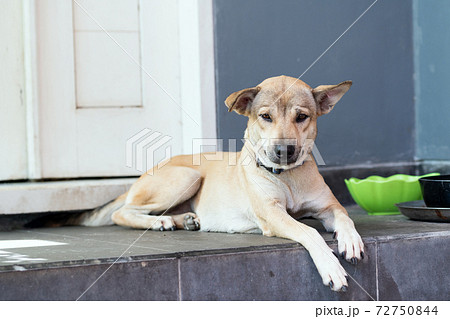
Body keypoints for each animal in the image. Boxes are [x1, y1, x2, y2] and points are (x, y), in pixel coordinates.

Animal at [67, 76, 364, 294]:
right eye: (266, 117)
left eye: (302, 117)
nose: (284, 150)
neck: (287, 176)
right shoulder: (273, 215)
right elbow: (309, 232)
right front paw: (330, 266)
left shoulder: (329, 206)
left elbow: (345, 217)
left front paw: (350, 240)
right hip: (187, 178)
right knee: (122, 213)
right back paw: (159, 221)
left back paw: (184, 220)